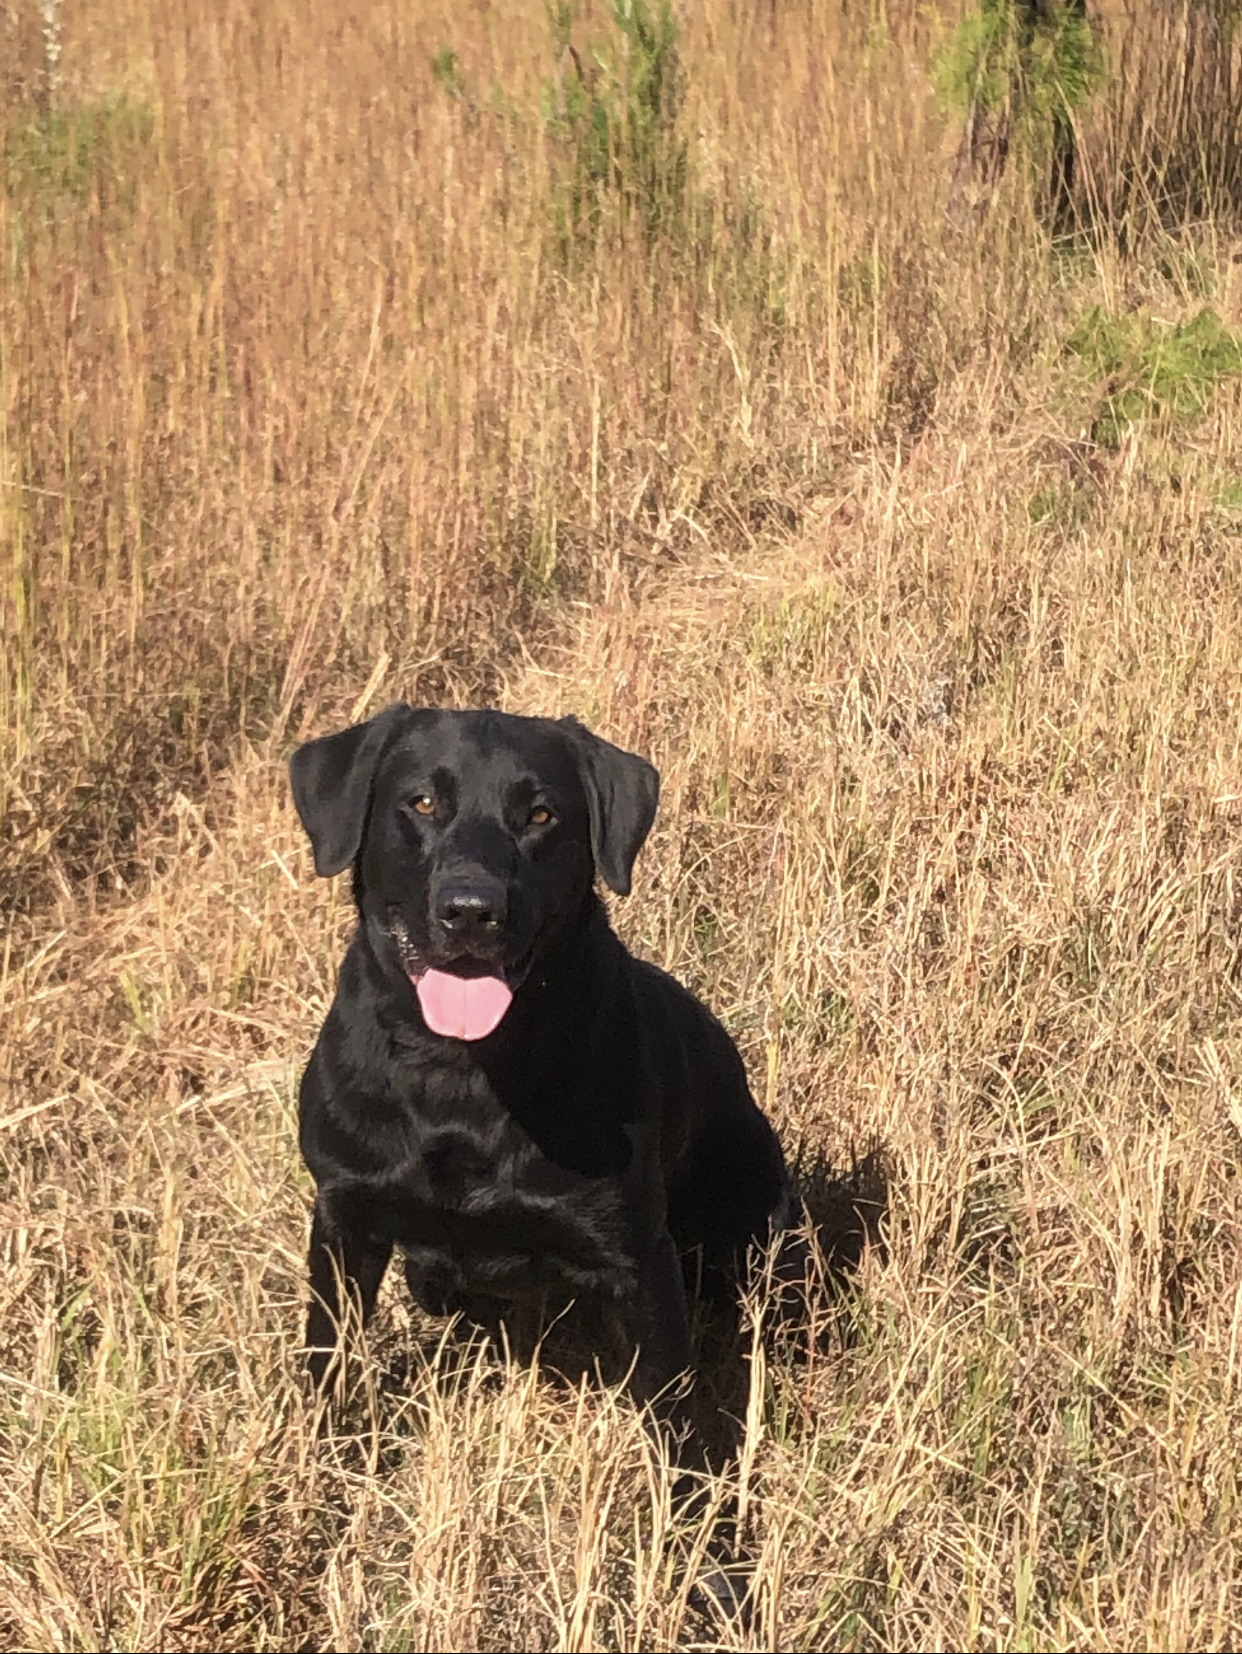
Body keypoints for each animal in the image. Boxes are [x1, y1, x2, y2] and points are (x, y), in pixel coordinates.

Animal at [289, 704, 797, 1442]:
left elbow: (674, 1410)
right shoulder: (343, 1218)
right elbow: (326, 1352)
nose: (472, 910)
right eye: (422, 802)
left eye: (539, 816)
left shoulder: (634, 1256)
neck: (461, 1072)